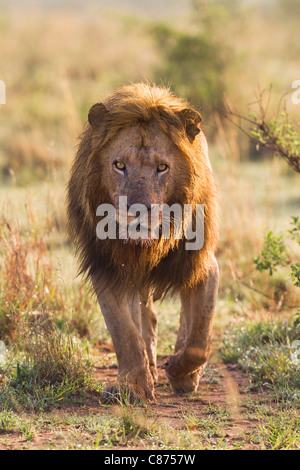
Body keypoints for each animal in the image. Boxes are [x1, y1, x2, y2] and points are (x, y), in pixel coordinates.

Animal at [67, 82, 219, 398]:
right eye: (119, 165)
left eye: (162, 168)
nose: (137, 212)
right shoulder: (107, 268)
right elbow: (124, 333)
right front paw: (134, 385)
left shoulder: (203, 266)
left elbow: (199, 340)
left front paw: (180, 372)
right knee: (144, 319)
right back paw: (149, 366)